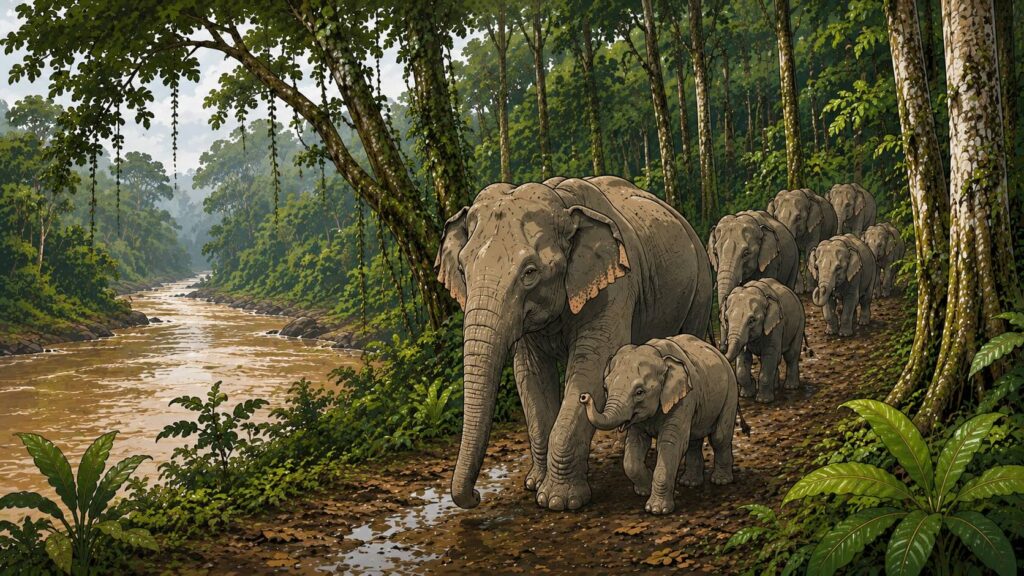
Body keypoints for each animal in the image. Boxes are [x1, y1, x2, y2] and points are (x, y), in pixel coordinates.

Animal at [436, 176, 713, 511]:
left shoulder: (616, 286)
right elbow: (530, 377)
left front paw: (558, 501)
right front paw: (535, 485)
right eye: (462, 270)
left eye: (530, 272)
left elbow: (590, 367)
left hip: (701, 285)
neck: (562, 202)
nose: (476, 496)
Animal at [578, 334, 738, 515]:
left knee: (719, 437)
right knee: (693, 439)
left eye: (640, 392)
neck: (659, 356)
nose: (584, 397)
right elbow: (635, 446)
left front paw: (656, 510)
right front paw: (644, 489)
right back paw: (689, 483)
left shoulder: (684, 398)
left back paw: (720, 481)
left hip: (731, 389)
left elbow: (670, 443)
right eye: (605, 388)